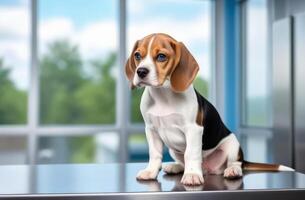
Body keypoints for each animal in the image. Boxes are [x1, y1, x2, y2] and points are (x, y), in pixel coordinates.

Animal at [124, 32, 292, 186]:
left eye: (161, 56)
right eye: (137, 55)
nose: (141, 71)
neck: (163, 95)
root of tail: (208, 169)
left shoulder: (193, 129)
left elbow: (191, 153)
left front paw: (192, 175)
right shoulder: (151, 129)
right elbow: (155, 154)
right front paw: (150, 172)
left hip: (232, 144)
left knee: (236, 163)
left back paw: (231, 171)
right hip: (174, 150)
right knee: (183, 162)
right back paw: (176, 167)